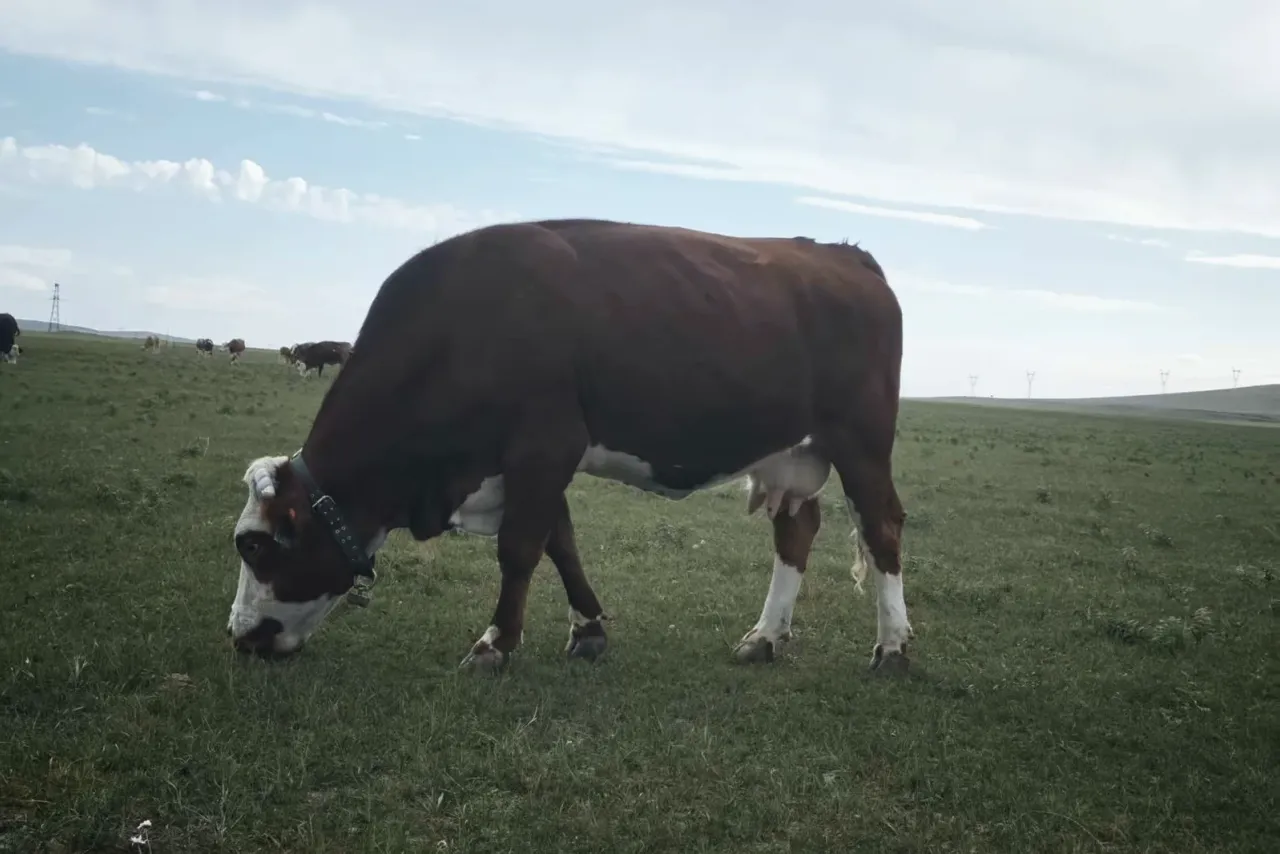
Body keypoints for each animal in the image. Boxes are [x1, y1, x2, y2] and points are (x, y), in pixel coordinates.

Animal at [226, 218, 911, 678]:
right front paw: (588, 630)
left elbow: (519, 549)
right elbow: (561, 543)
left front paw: (495, 644)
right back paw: (766, 637)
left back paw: (894, 648)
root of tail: (844, 254)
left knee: (882, 528)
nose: (240, 637)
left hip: (861, 441)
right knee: (797, 530)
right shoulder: (532, 462)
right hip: (793, 454)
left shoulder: (542, 444)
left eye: (254, 546)